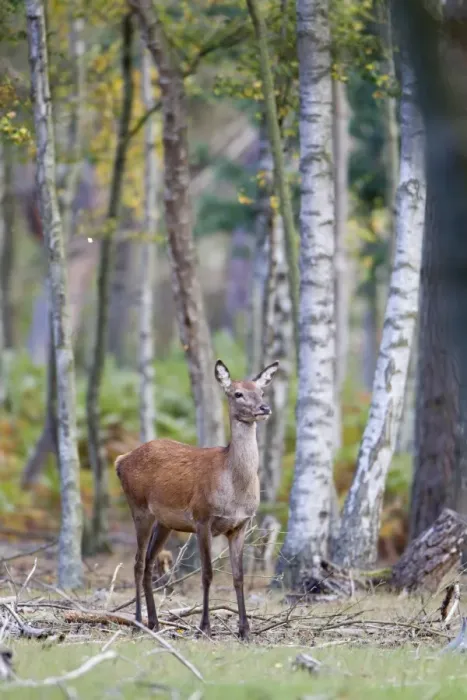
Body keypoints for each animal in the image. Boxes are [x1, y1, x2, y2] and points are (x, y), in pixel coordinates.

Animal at [116, 358, 279, 641]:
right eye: (238, 393)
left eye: (261, 391)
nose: (264, 408)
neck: (234, 488)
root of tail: (121, 460)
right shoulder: (203, 518)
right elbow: (207, 574)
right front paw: (204, 627)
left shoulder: (241, 525)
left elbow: (238, 576)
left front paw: (245, 630)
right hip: (139, 508)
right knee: (136, 563)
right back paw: (137, 621)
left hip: (164, 522)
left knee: (149, 564)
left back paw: (154, 622)